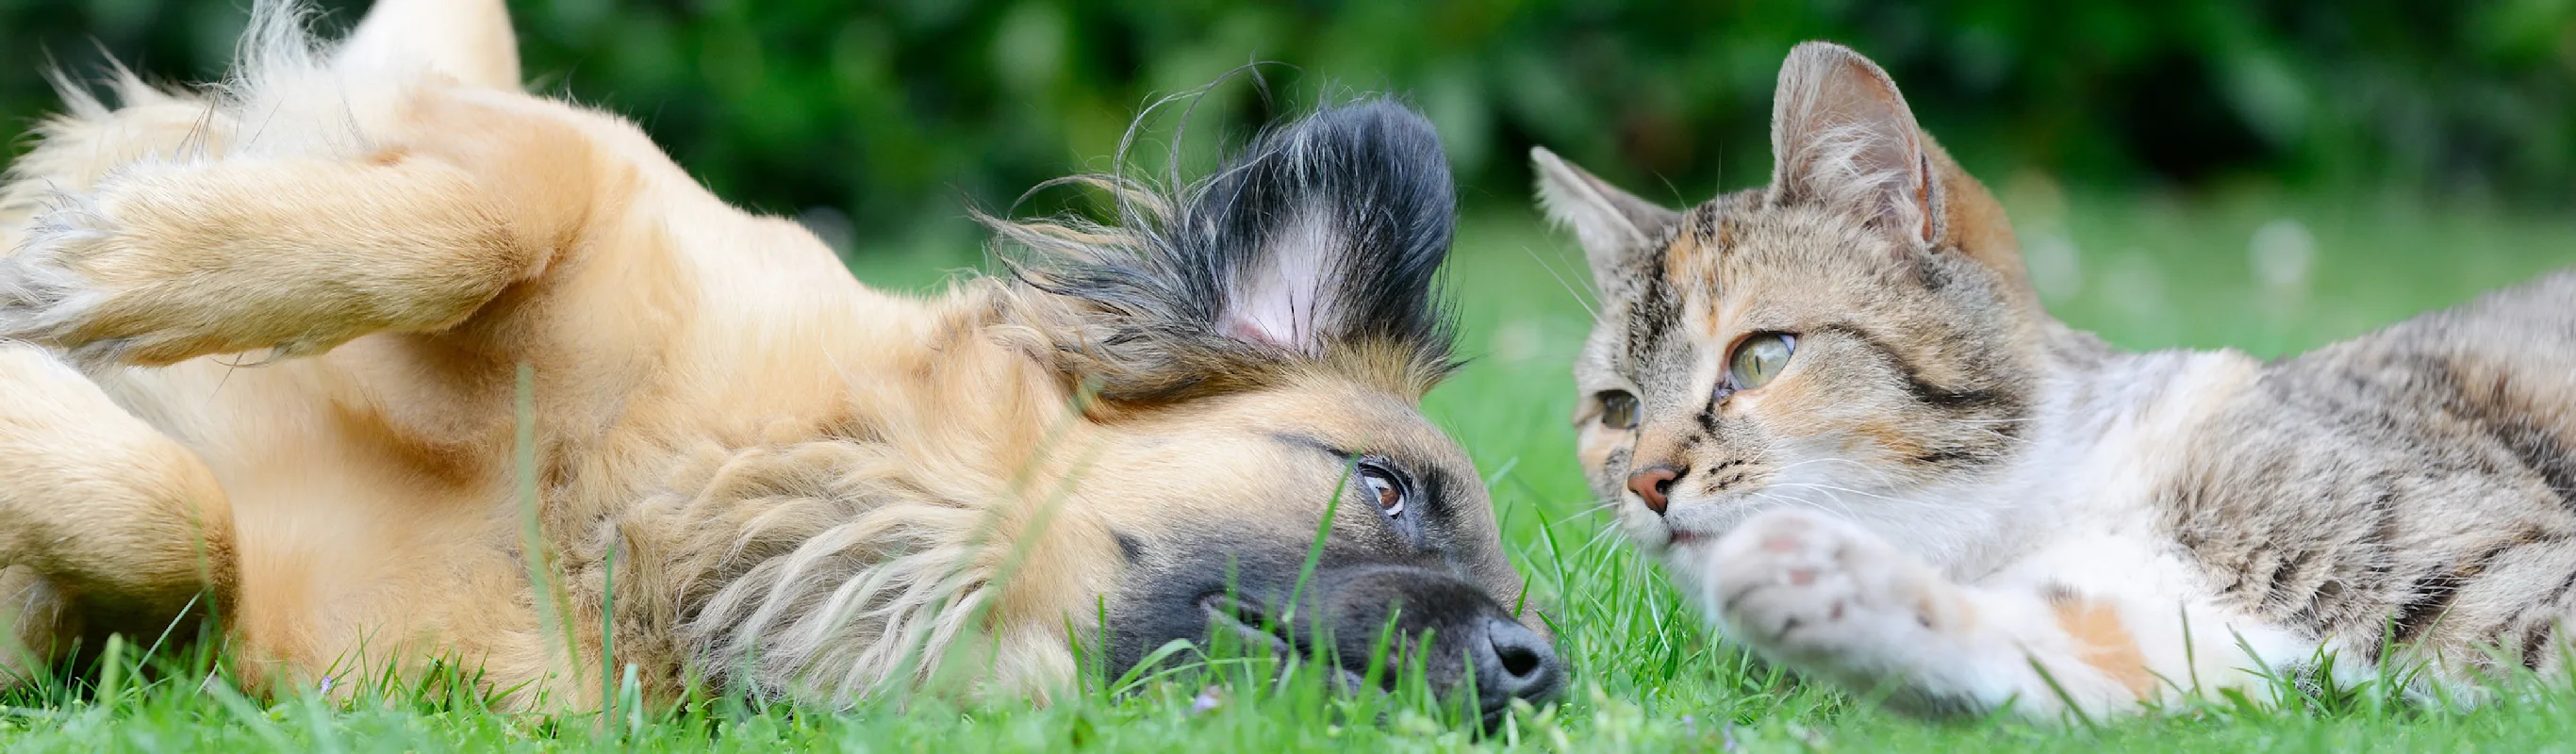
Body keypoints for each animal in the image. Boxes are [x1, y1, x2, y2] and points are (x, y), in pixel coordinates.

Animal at [0, 0, 1556, 715]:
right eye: (1386, 488)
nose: (1539, 665)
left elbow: (185, 530)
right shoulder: (529, 145)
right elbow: (477, 220)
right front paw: (105, 264)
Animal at [1525, 39, 2576, 715]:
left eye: (1760, 357)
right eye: (1615, 409)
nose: (1644, 480)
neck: (2040, 503)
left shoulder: (2496, 569)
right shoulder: (2224, 649)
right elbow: (2086, 649)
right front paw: (1839, 593)